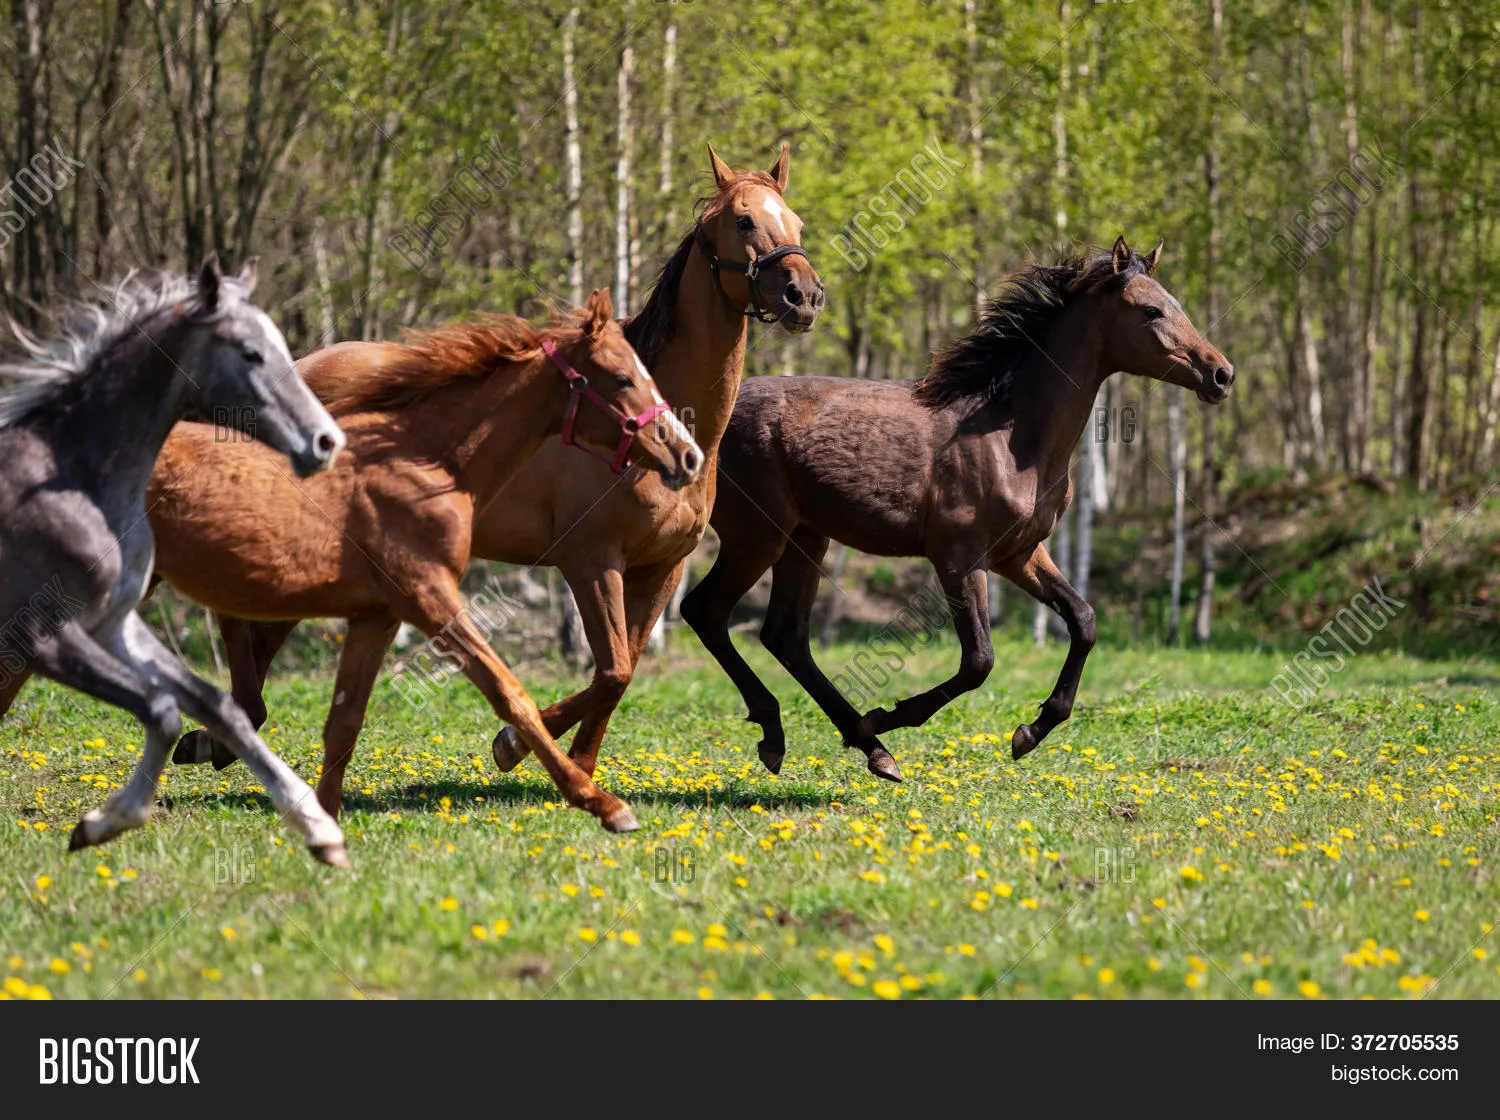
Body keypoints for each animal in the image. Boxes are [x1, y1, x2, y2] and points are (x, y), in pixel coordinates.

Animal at [0, 257, 353, 865]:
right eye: (250, 353)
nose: (326, 441)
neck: (72, 478)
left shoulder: (114, 626)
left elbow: (215, 705)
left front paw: (320, 831)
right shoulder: (39, 636)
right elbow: (163, 709)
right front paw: (103, 824)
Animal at [145, 288, 700, 830]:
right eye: (622, 377)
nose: (688, 455)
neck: (425, 461)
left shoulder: (378, 615)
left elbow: (344, 722)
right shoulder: (431, 595)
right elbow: (510, 693)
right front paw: (601, 803)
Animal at [177, 142, 823, 783]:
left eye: (796, 222)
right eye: (743, 220)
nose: (805, 296)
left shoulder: (659, 570)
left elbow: (622, 673)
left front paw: (578, 766)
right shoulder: (589, 562)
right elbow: (611, 670)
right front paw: (512, 742)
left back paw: (218, 737)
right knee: (240, 625)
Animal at [680, 238, 1235, 781]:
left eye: (1177, 304)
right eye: (1151, 311)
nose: (1222, 374)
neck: (1011, 434)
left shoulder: (1019, 554)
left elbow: (1083, 619)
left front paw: (1029, 733)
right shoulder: (958, 557)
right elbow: (979, 660)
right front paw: (890, 715)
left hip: (806, 538)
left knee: (785, 636)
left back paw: (867, 748)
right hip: (759, 535)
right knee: (705, 611)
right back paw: (798, 734)